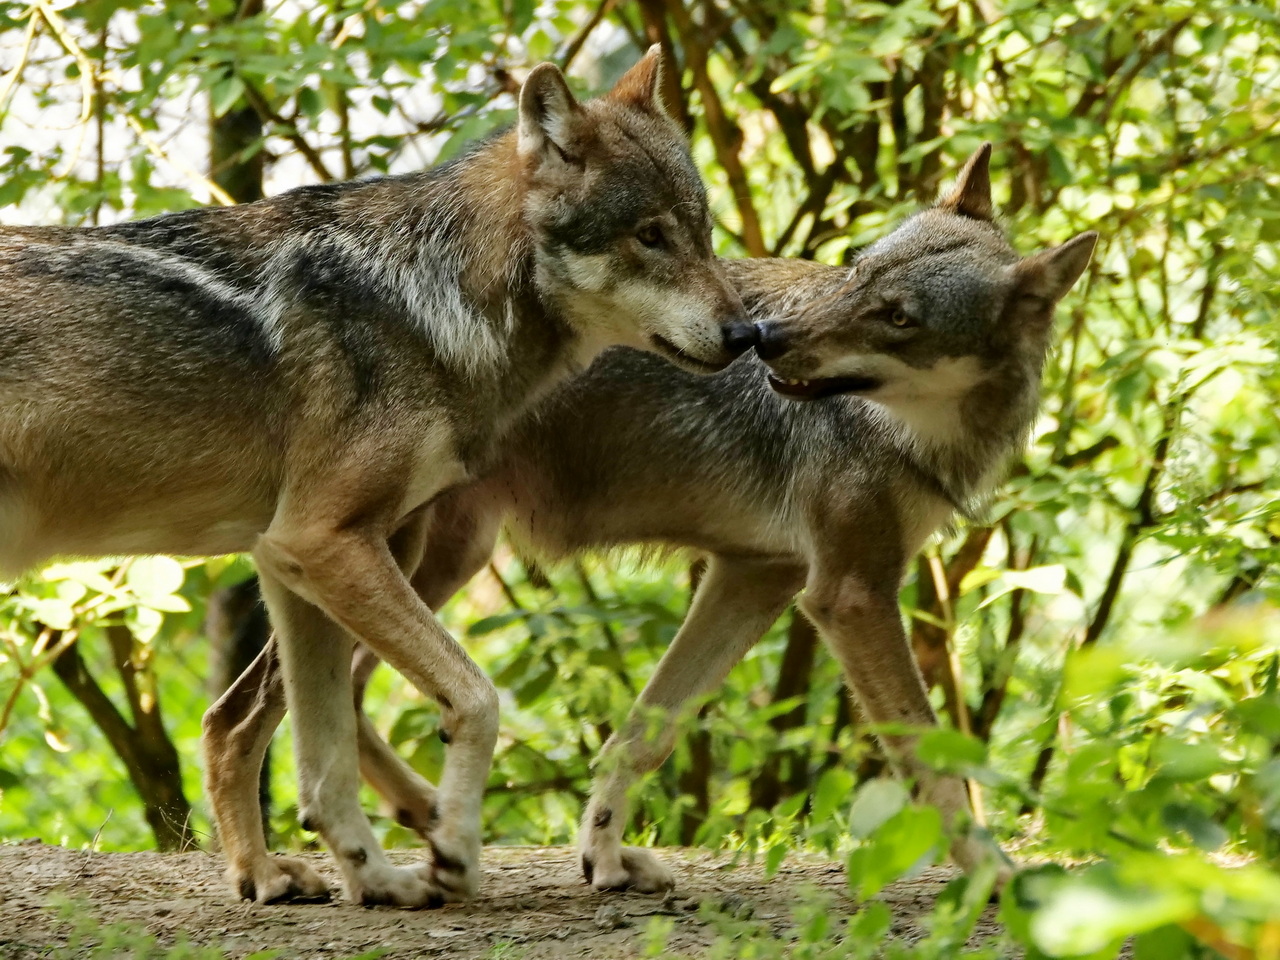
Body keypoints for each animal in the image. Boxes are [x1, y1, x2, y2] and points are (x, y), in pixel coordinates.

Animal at [0, 48, 747, 911]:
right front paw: (453, 848)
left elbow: (322, 767)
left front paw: (378, 877)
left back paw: (263, 875)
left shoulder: (290, 559)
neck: (433, 297)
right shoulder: (323, 541)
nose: (747, 335)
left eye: (702, 233)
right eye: (649, 236)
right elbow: (476, 699)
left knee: (232, 724)